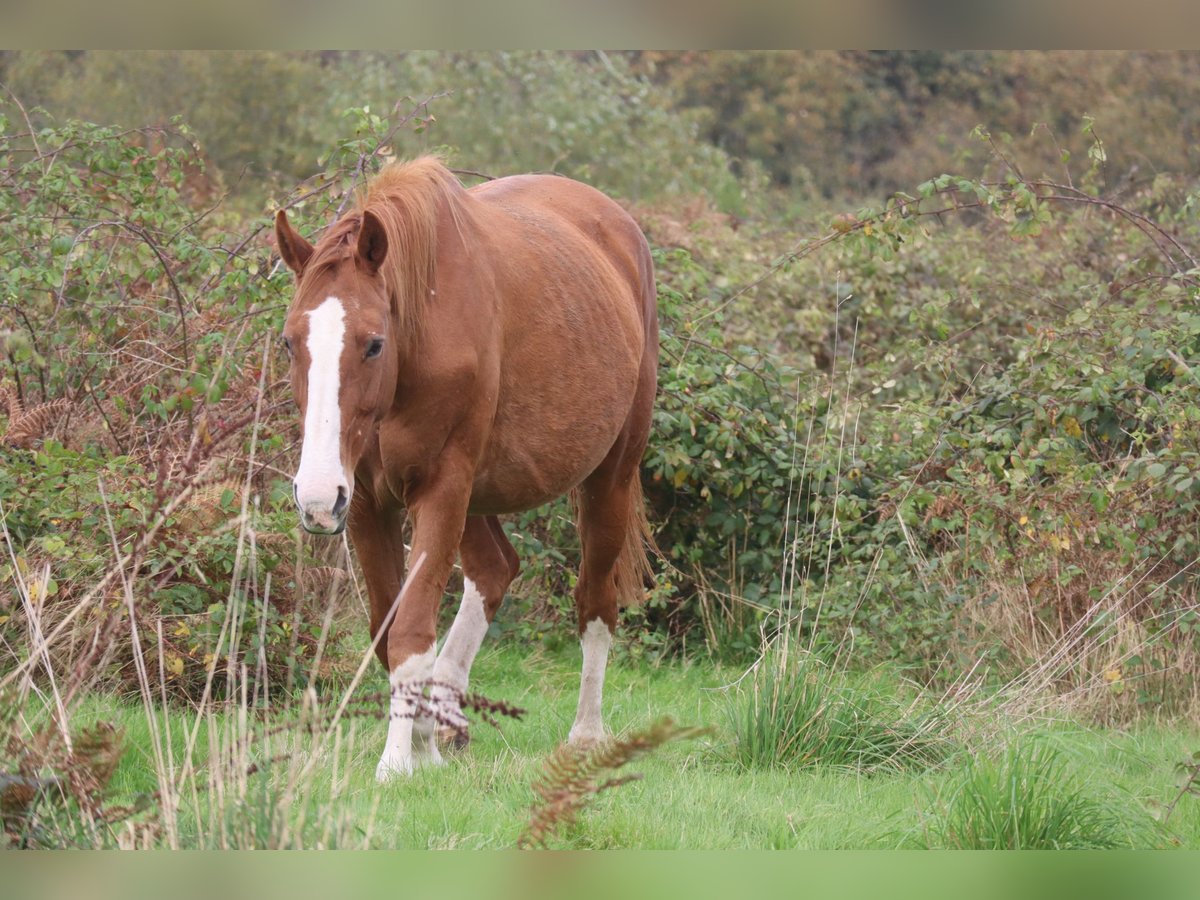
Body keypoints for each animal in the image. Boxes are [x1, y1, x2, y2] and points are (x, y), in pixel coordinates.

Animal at [274, 158, 657, 777]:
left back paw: (585, 737)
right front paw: (422, 747)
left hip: (609, 480)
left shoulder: (440, 489)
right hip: (476, 498)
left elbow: (411, 629)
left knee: (594, 602)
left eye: (373, 344)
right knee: (496, 569)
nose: (314, 497)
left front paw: (397, 763)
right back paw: (445, 724)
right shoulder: (366, 504)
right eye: (290, 343)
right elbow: (389, 632)